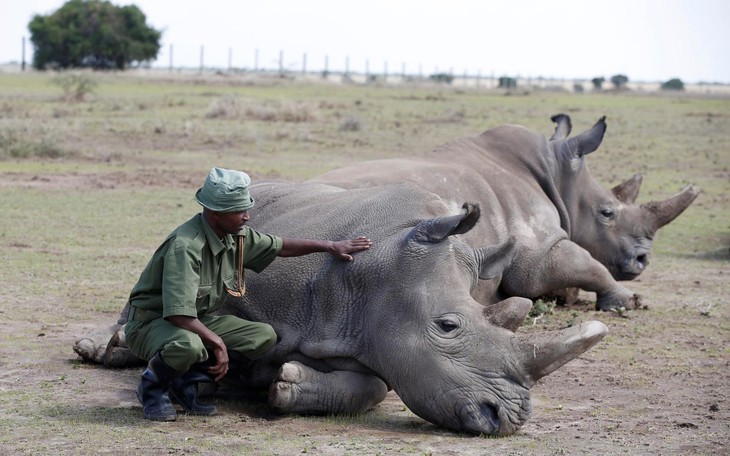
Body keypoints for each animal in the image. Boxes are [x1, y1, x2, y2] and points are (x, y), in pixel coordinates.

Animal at [75, 181, 608, 434]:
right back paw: (102, 349)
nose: (510, 419)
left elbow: (372, 386)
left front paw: (285, 384)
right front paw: (230, 377)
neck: (381, 267)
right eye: (447, 326)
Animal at [312, 114, 700, 310]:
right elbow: (587, 263)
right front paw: (628, 302)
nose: (642, 260)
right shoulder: (536, 252)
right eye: (607, 213)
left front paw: (568, 296)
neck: (556, 171)